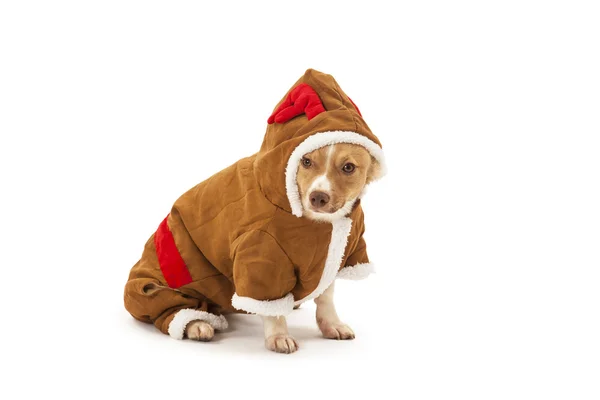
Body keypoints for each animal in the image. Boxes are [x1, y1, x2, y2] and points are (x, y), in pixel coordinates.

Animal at [124, 69, 386, 354]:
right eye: (306, 161)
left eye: (348, 167)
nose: (317, 197)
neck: (322, 225)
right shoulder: (263, 257)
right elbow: (273, 309)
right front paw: (278, 336)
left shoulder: (341, 253)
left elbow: (326, 299)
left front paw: (332, 325)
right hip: (161, 285)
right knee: (170, 311)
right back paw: (197, 325)